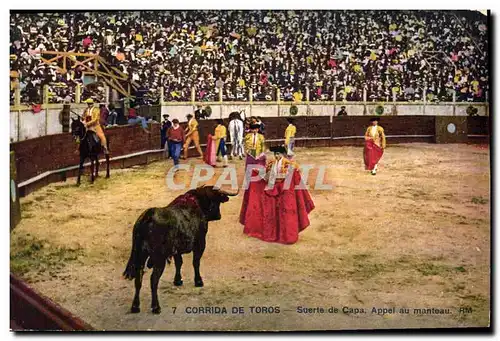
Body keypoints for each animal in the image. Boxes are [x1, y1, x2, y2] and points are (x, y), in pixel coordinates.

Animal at [122, 186, 236, 314]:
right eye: (217, 200)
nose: (219, 216)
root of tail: (148, 216)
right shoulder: (200, 242)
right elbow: (195, 262)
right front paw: (198, 281)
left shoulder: (176, 250)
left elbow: (179, 263)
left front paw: (178, 280)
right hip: (159, 258)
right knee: (153, 280)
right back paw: (156, 307)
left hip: (141, 255)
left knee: (138, 278)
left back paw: (135, 306)